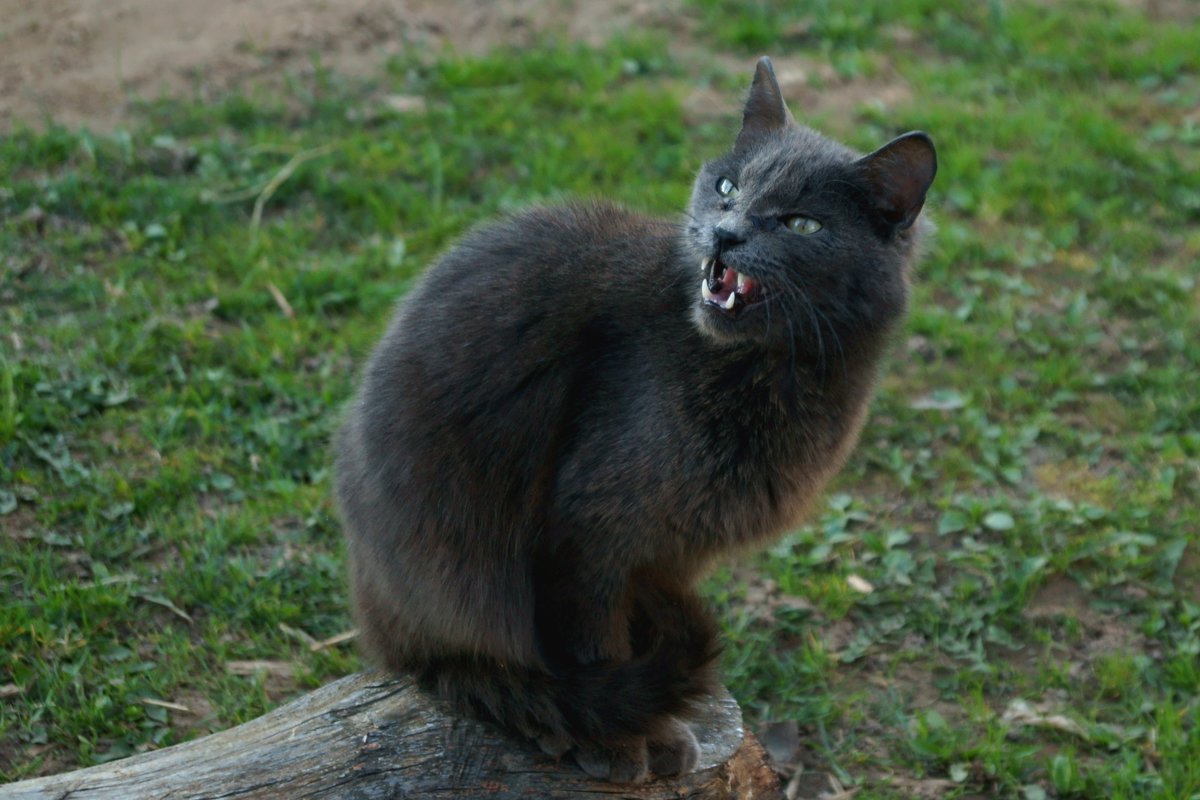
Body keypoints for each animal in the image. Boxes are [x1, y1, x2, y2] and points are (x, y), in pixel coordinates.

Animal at [336, 59, 936, 786]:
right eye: (728, 187)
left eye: (801, 224)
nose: (727, 232)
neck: (771, 376)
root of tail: (374, 615)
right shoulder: (588, 532)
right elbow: (595, 639)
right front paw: (625, 742)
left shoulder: (674, 545)